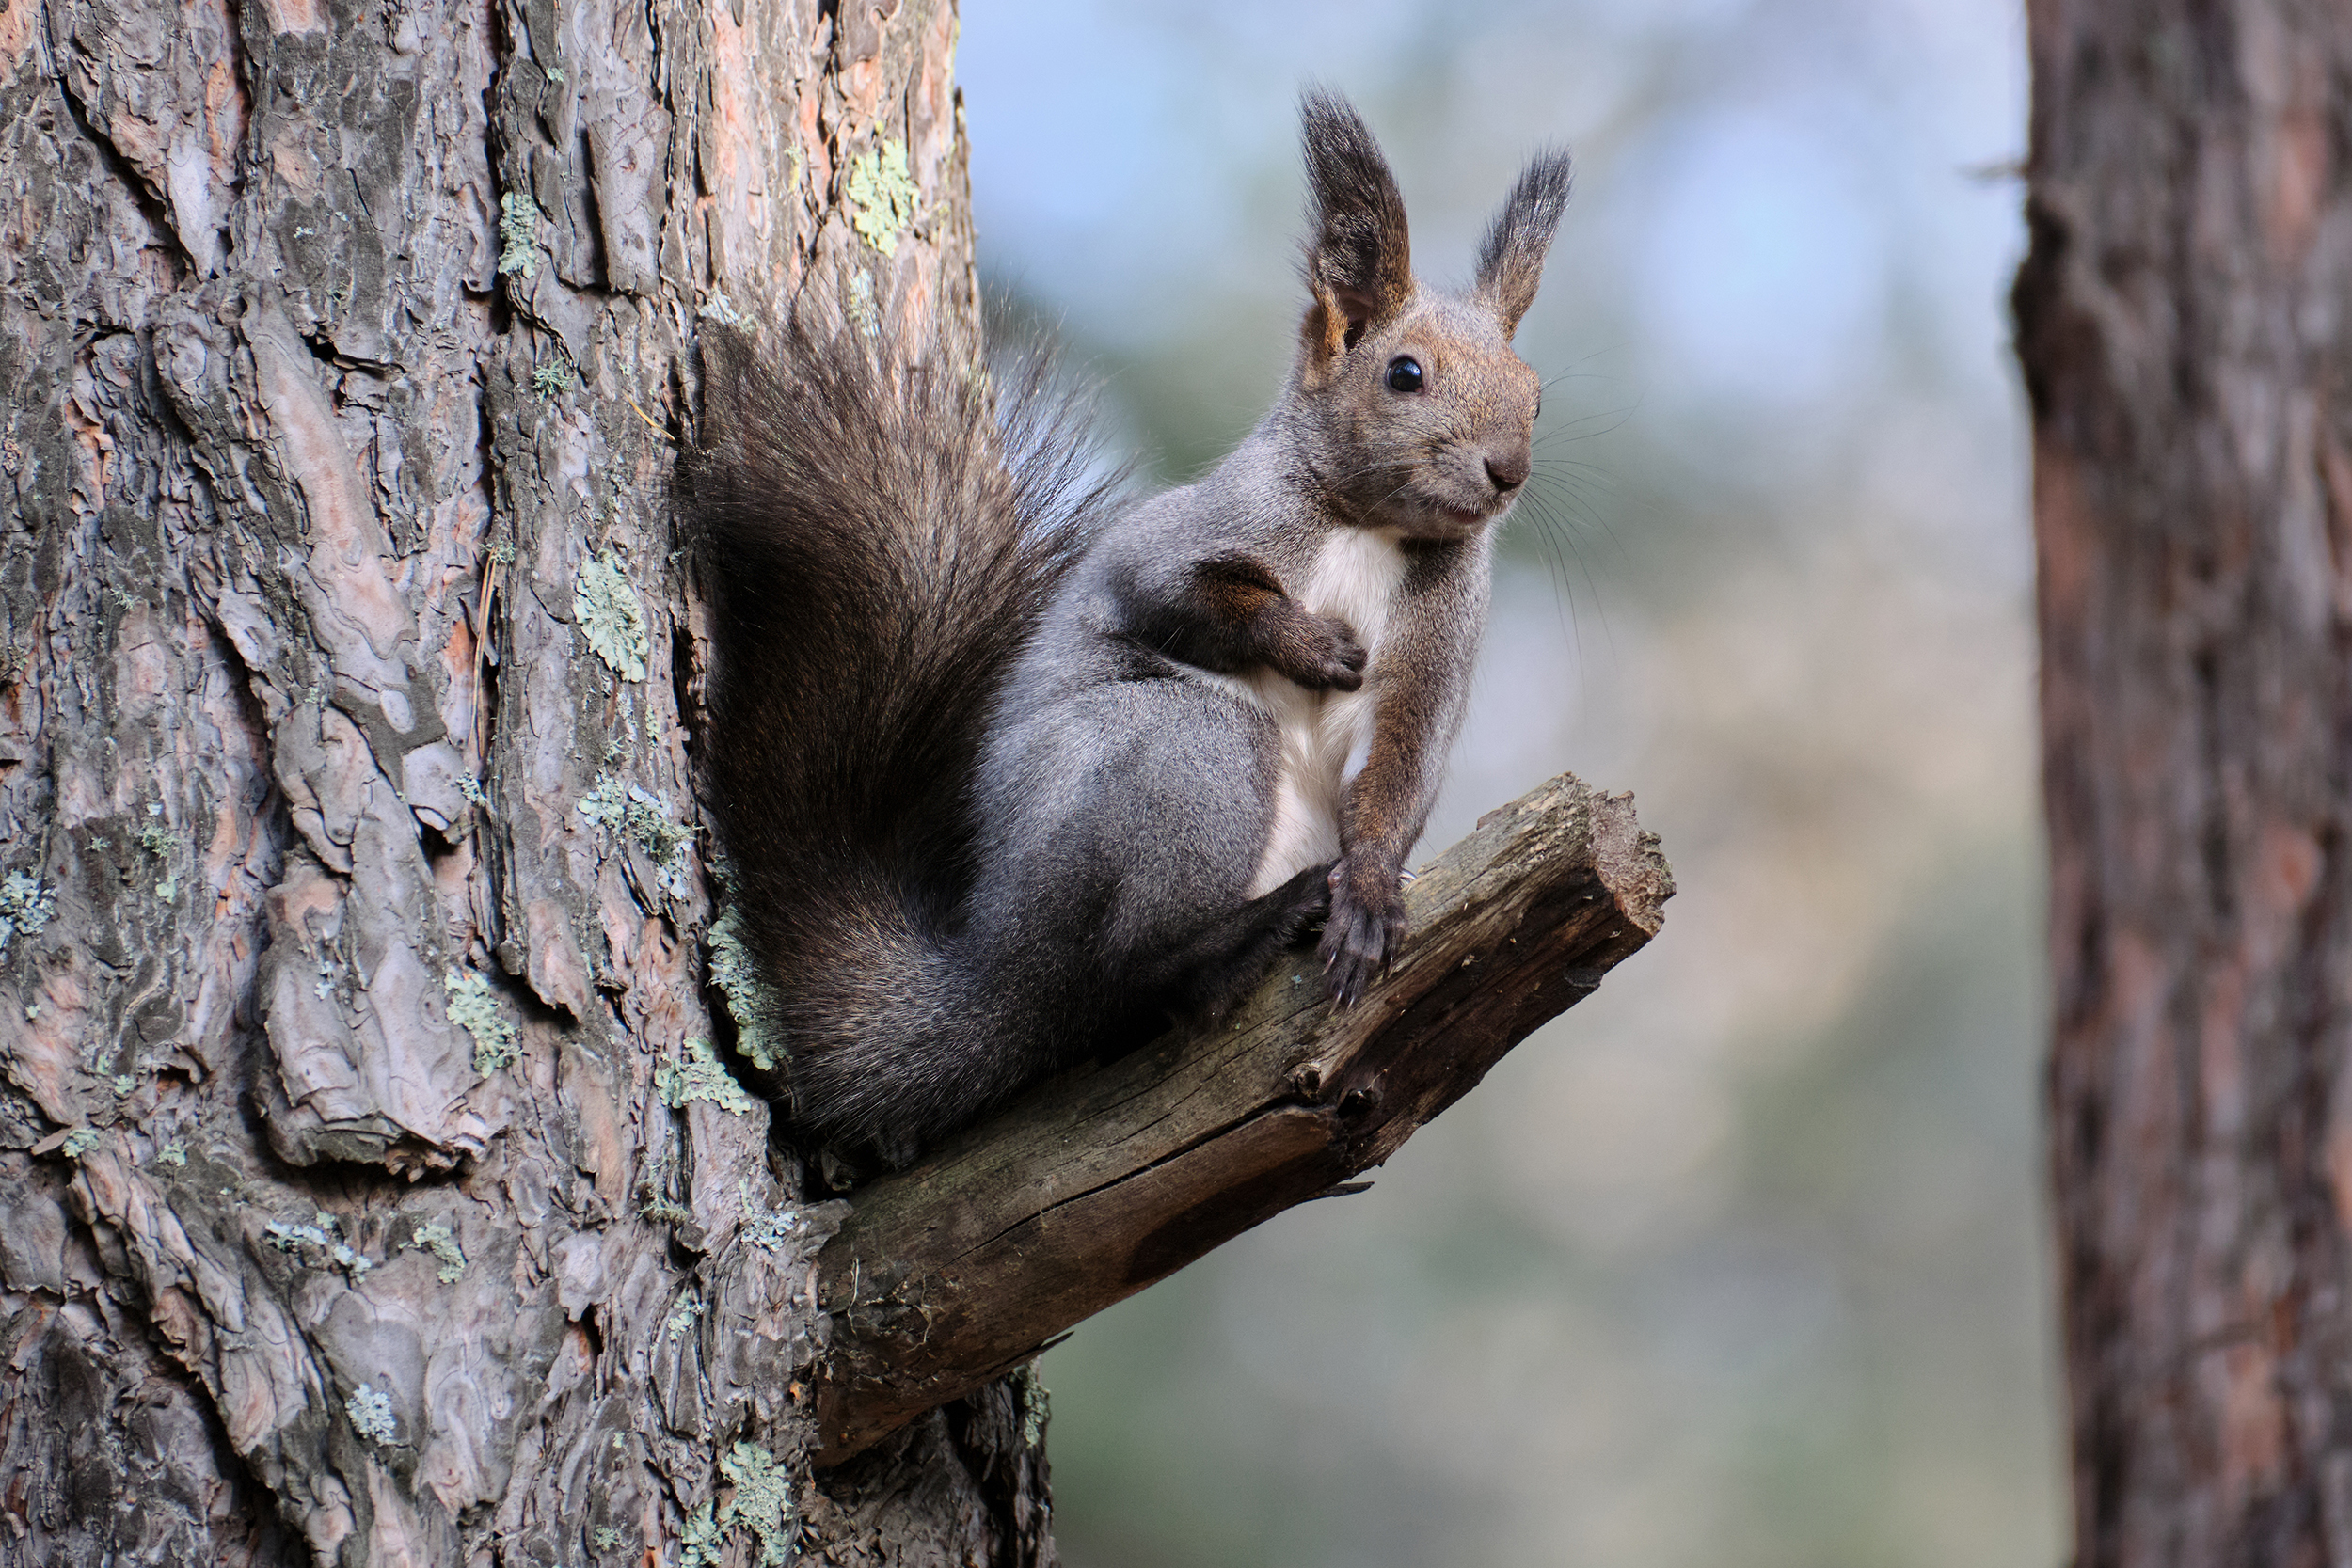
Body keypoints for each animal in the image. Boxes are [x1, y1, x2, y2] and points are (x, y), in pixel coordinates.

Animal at [687, 88, 1562, 1165]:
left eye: (1535, 394)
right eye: (1404, 374)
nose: (1506, 471)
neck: (1370, 528)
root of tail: (998, 962)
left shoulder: (1439, 642)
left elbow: (1400, 760)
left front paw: (1368, 891)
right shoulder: (1189, 533)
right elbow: (1177, 596)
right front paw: (1314, 646)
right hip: (1181, 758)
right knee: (1114, 983)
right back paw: (1233, 940)